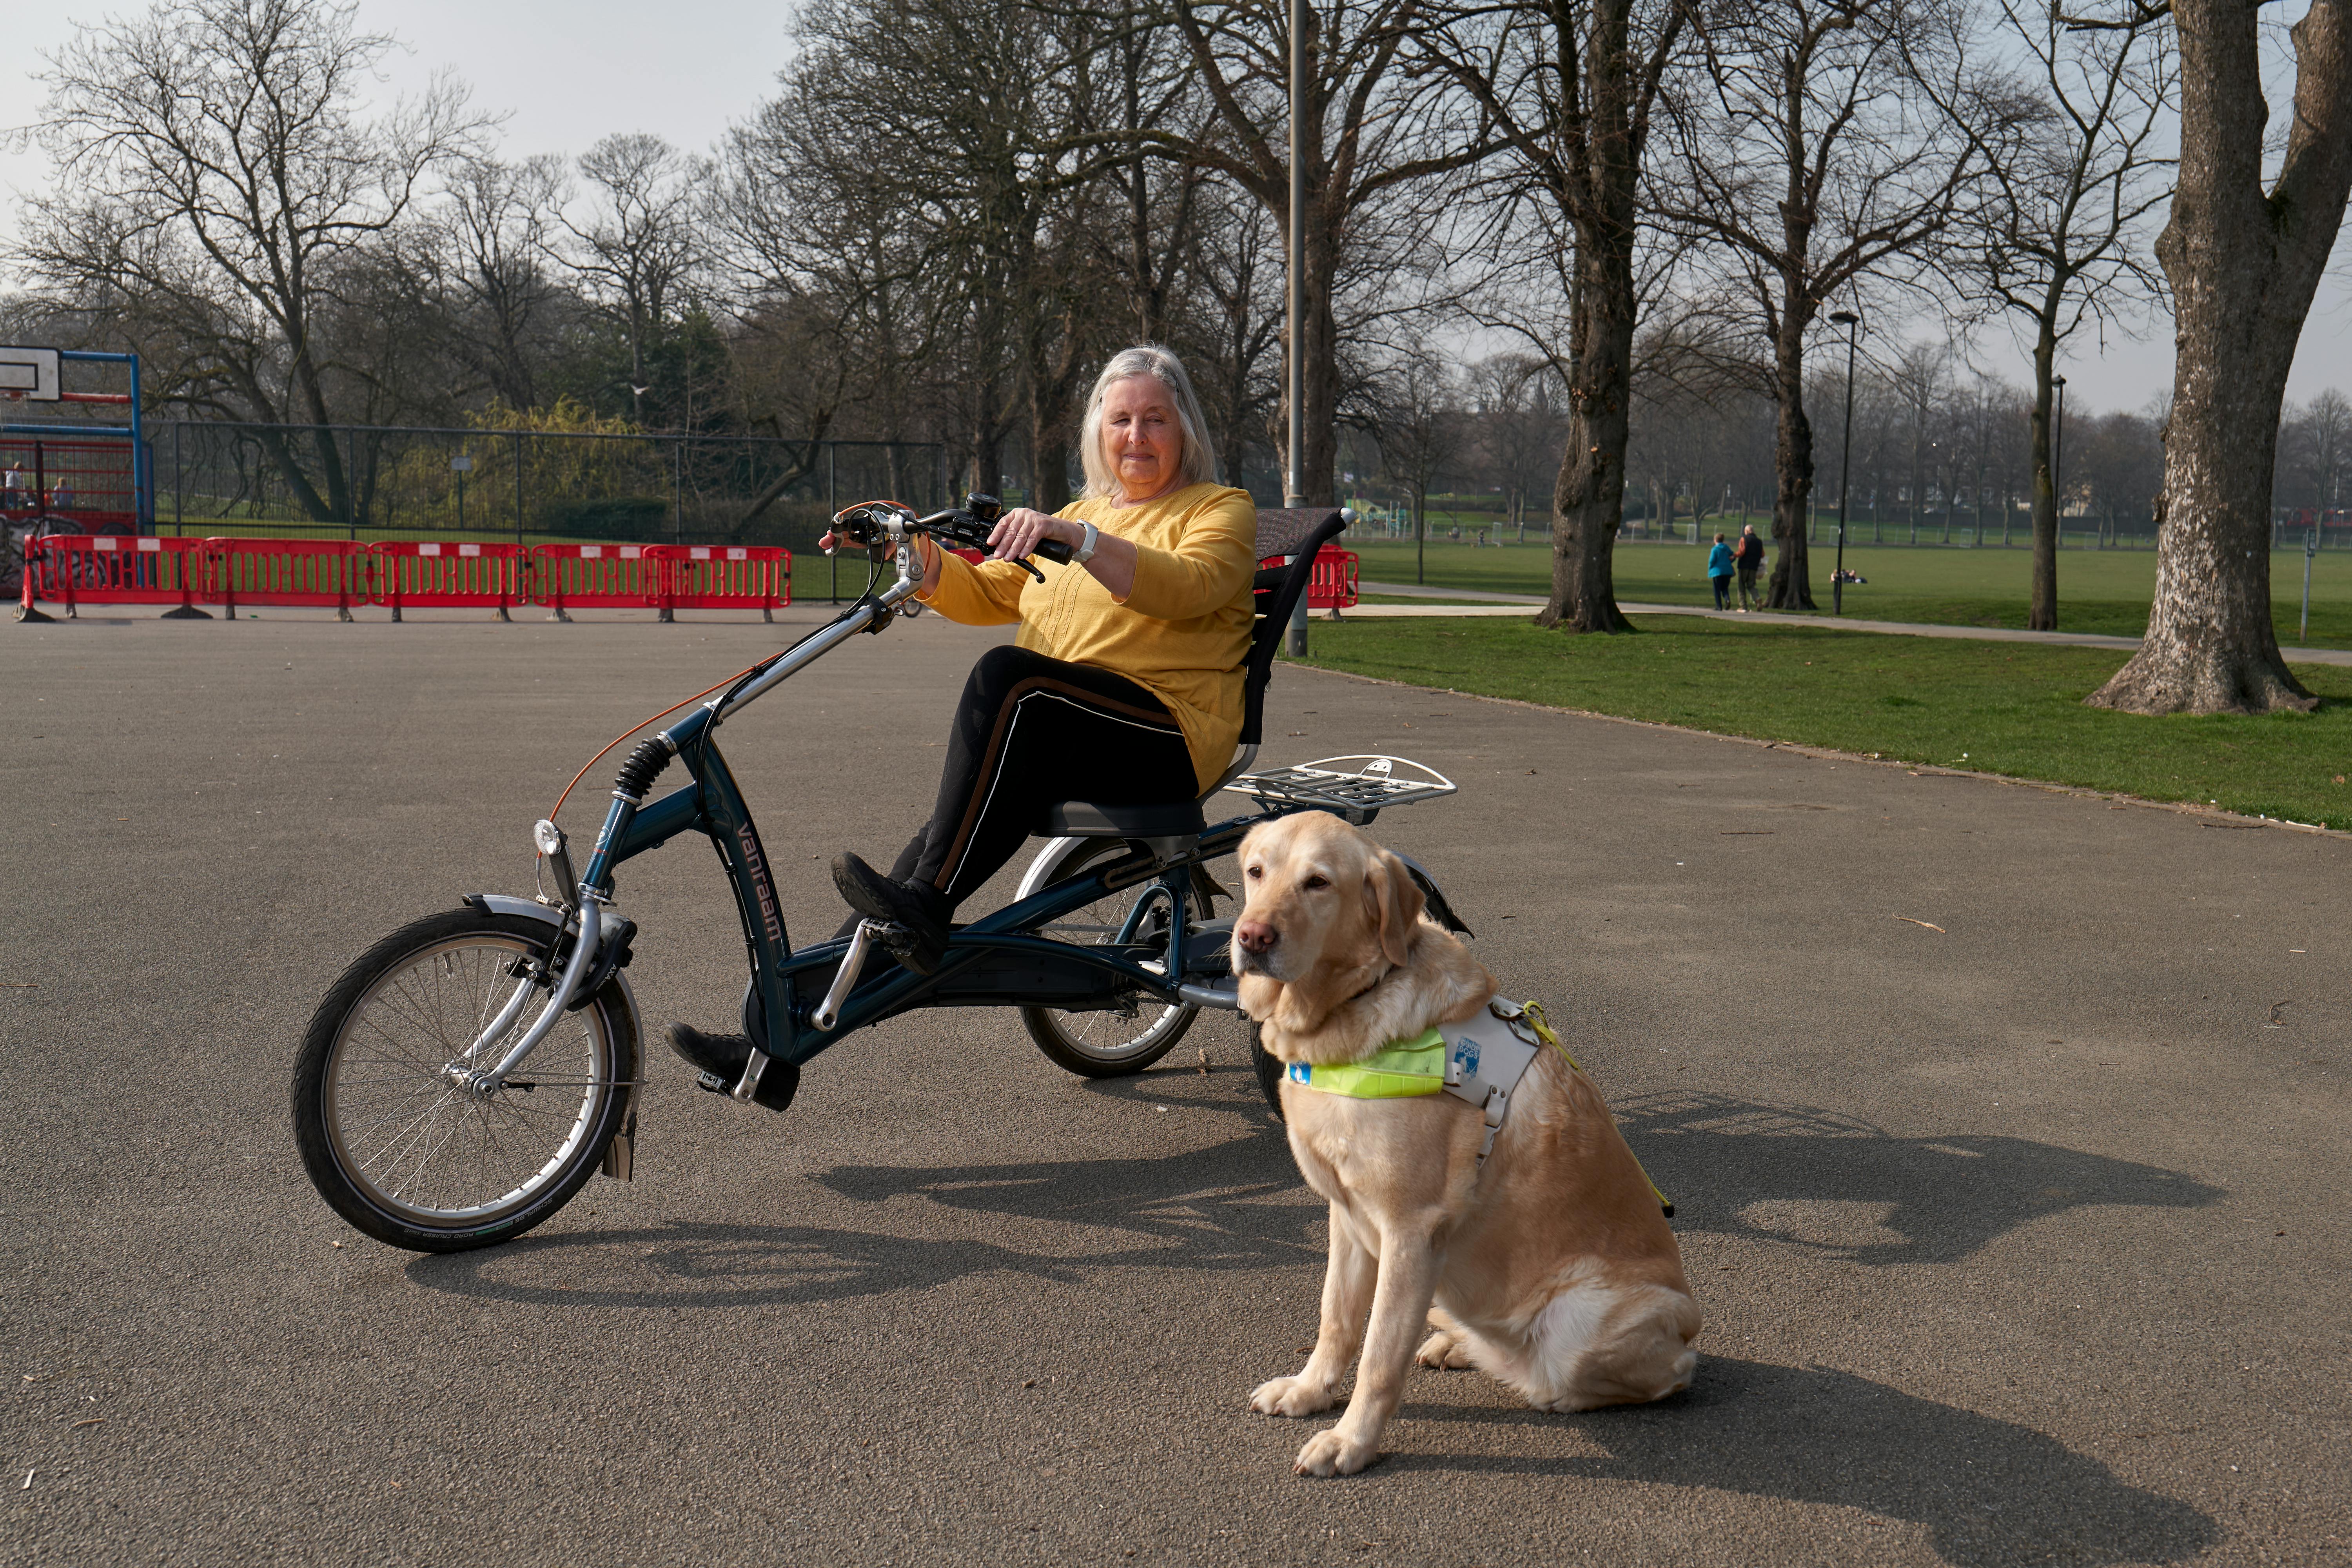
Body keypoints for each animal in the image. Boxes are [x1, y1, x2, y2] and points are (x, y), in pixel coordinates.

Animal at [1232, 818, 1712, 1476]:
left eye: (1318, 883)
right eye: (1256, 871)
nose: (1252, 937)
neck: (1353, 1007)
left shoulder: (1411, 1230)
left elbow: (1379, 1355)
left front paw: (1352, 1441)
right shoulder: (1347, 1218)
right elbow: (1338, 1320)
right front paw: (1309, 1392)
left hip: (1586, 1320)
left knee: (1655, 1373)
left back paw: (1541, 1383)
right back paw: (1459, 1344)